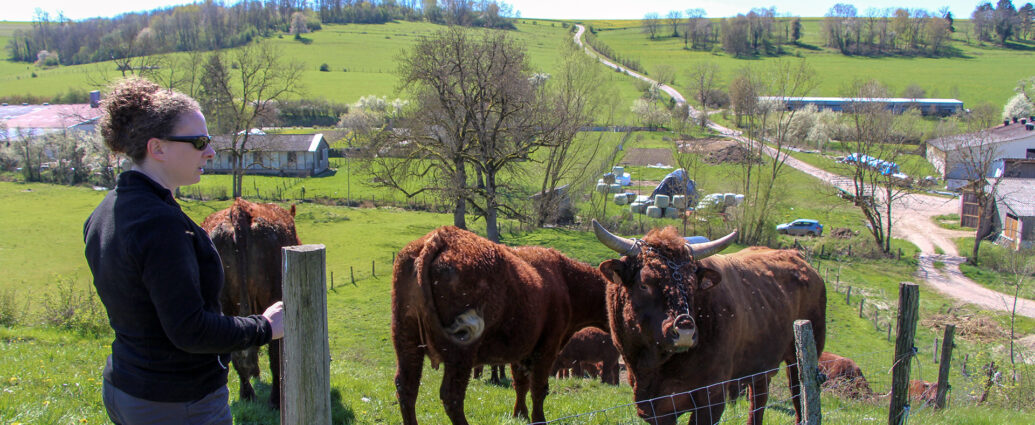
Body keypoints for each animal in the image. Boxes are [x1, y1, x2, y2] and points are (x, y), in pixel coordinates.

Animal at [200, 198, 300, 409]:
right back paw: (275, 400)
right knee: (274, 353)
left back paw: (247, 395)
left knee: (236, 353)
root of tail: (239, 209)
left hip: (224, 306)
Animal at [391, 226, 611, 425]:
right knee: (452, 396)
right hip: (461, 351)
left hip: (406, 340)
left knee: (407, 389)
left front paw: (520, 415)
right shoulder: (547, 348)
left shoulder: (521, 348)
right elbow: (539, 389)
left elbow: (520, 383)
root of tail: (440, 237)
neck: (565, 281)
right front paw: (538, 419)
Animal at [593, 220, 827, 425]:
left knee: (799, 397)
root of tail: (798, 258)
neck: (654, 365)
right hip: (760, 365)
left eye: (692, 284)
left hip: (800, 359)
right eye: (644, 283)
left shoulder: (711, 397)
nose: (685, 330)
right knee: (758, 399)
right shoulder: (655, 407)